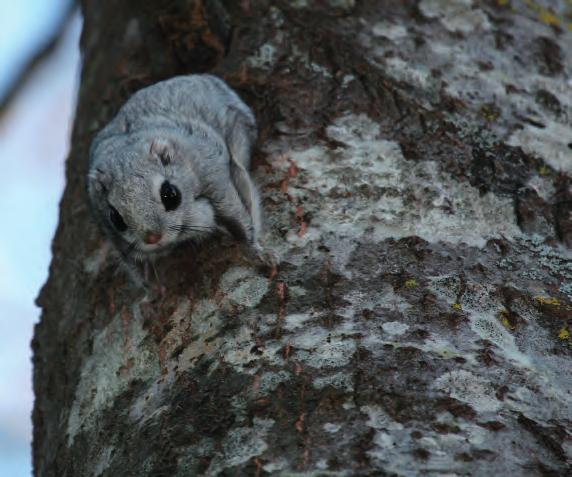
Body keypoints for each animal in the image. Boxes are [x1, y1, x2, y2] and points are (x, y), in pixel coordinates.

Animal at [87, 74, 278, 288]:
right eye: (115, 218)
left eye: (170, 195)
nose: (152, 238)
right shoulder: (106, 225)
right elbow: (132, 263)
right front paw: (150, 286)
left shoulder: (212, 177)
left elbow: (238, 217)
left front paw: (257, 252)